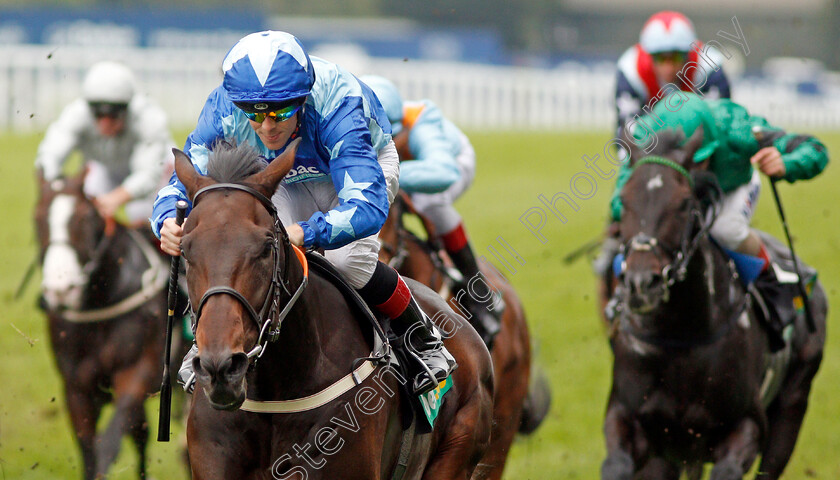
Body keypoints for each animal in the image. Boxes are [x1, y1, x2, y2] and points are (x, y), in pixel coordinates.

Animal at [34, 168, 184, 476]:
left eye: (83, 218)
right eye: (38, 218)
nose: (60, 290)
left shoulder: (136, 373)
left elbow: (110, 445)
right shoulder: (76, 389)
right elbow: (89, 453)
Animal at [604, 128, 828, 480]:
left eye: (684, 203)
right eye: (624, 201)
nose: (640, 284)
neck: (681, 336)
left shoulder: (746, 426)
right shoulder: (632, 420)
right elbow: (615, 464)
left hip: (793, 405)